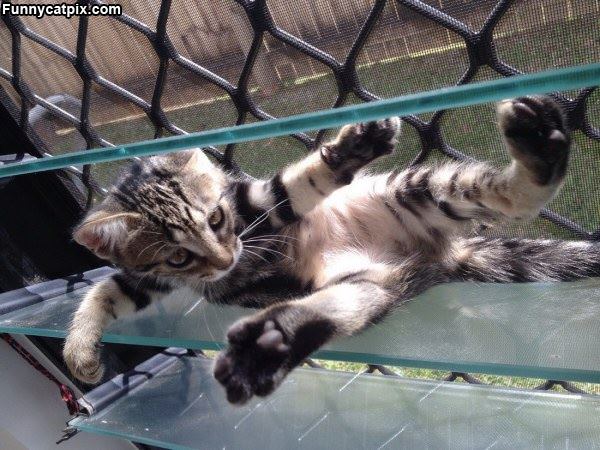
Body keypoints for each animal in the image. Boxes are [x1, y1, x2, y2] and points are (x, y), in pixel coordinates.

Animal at [63, 97, 596, 404]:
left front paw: (351, 149)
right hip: (370, 285)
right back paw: (269, 345)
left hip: (415, 191)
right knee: (338, 309)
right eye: (177, 256)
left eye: (215, 219)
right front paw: (81, 351)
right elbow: (109, 290)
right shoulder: (149, 275)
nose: (223, 260)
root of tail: (442, 255)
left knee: (514, 195)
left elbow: (295, 185)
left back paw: (539, 151)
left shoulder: (259, 209)